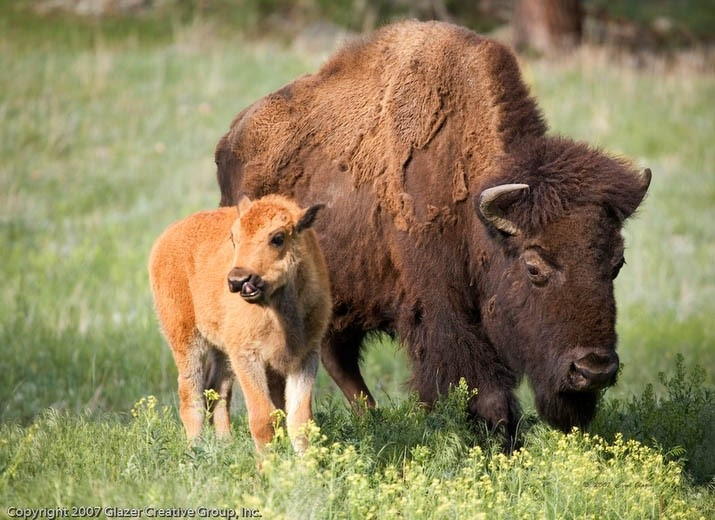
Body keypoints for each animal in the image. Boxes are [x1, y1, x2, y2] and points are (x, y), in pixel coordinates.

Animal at [213, 20, 651, 446]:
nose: (594, 369)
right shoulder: (440, 311)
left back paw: (369, 422)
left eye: (617, 263)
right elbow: (484, 394)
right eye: (534, 267)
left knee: (337, 360)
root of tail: (231, 137)